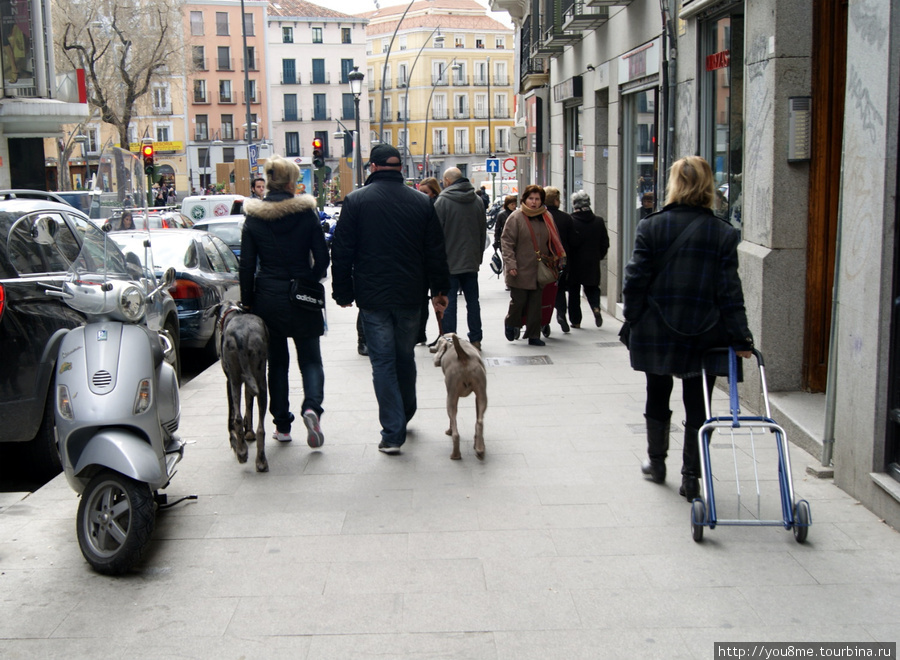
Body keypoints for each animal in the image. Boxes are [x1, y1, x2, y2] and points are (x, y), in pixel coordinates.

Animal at [217, 302, 268, 472]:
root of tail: (240, 336)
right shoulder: (244, 381)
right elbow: (249, 405)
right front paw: (249, 433)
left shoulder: (230, 381)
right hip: (259, 379)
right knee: (260, 428)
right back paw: (260, 460)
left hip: (238, 379)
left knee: (237, 418)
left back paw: (241, 451)